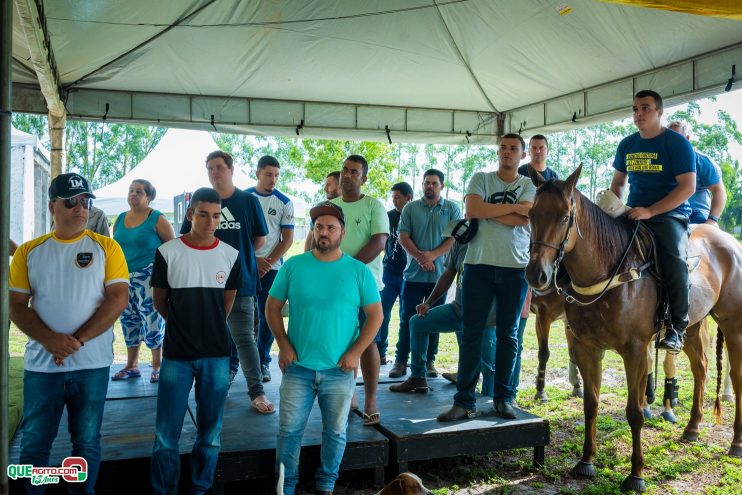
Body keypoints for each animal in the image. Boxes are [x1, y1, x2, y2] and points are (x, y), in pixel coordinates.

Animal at [528, 166, 742, 492]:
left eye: (565, 217)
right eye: (530, 214)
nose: (537, 275)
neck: (608, 271)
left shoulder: (636, 351)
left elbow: (635, 412)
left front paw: (636, 474)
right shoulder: (587, 347)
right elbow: (591, 403)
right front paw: (586, 461)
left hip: (733, 324)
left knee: (737, 377)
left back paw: (737, 442)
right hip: (692, 325)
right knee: (701, 368)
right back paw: (692, 428)